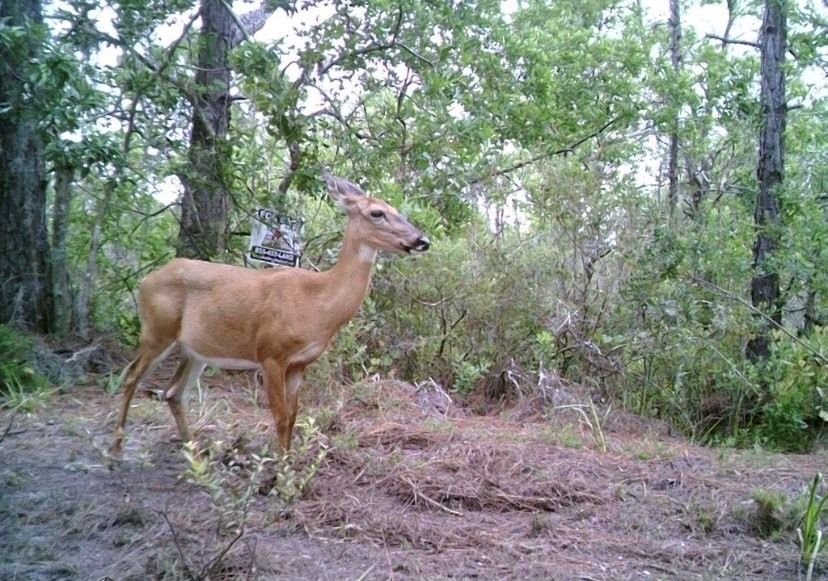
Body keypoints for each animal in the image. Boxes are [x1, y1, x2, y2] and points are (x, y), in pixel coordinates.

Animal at [111, 172, 430, 454]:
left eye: (397, 210)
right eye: (377, 213)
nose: (421, 240)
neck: (318, 302)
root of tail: (146, 280)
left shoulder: (300, 364)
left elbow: (292, 418)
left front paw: (289, 468)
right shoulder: (271, 353)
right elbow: (279, 417)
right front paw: (279, 474)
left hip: (195, 349)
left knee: (174, 393)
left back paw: (196, 456)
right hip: (157, 331)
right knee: (131, 377)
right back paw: (117, 450)